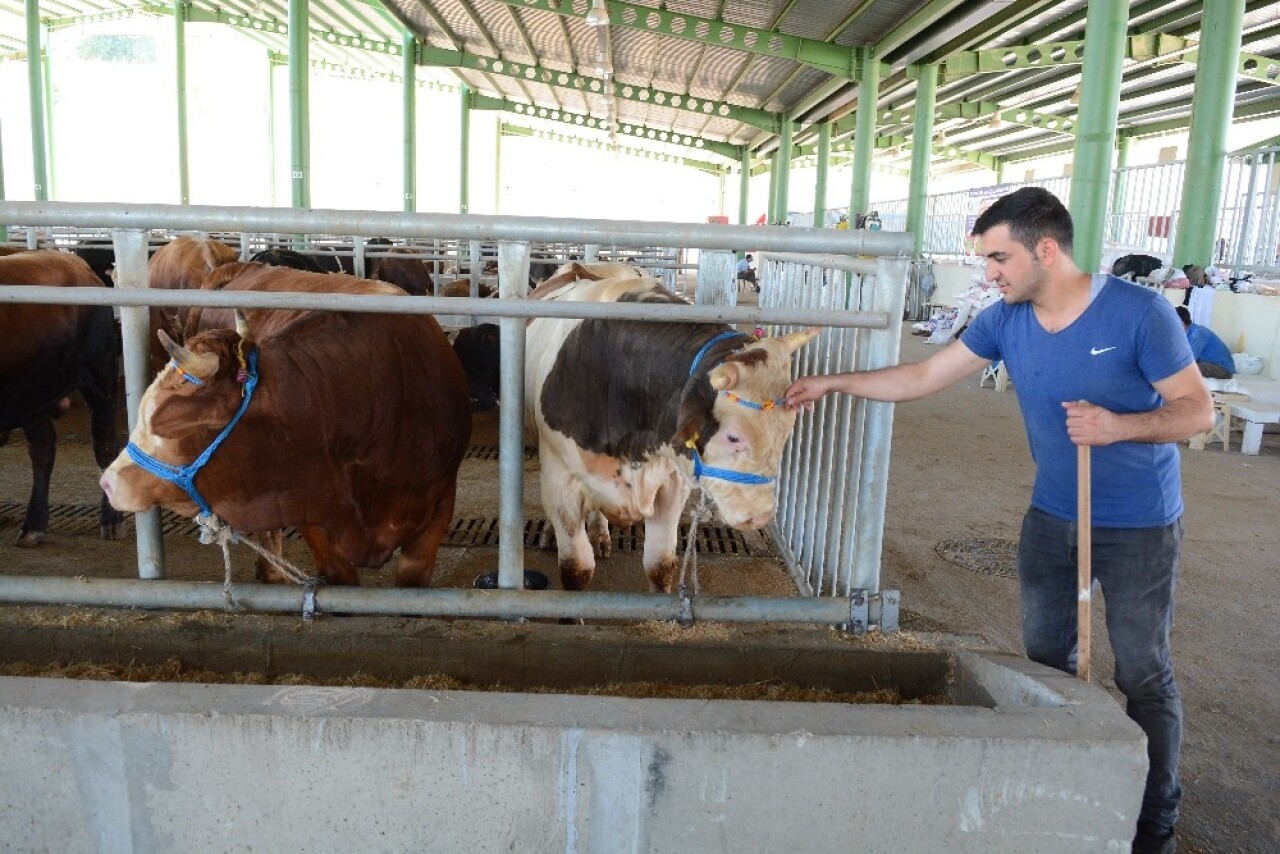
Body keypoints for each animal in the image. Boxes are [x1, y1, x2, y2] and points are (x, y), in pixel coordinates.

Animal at [0, 250, 124, 547]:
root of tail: (75, 262)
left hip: (99, 377)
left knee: (105, 444)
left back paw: (111, 520)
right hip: (33, 391)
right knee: (43, 448)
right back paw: (34, 525)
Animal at [524, 277, 814, 591]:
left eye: (787, 429)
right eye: (733, 437)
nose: (761, 515)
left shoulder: (672, 483)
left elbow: (660, 564)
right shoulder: (560, 481)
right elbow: (576, 569)